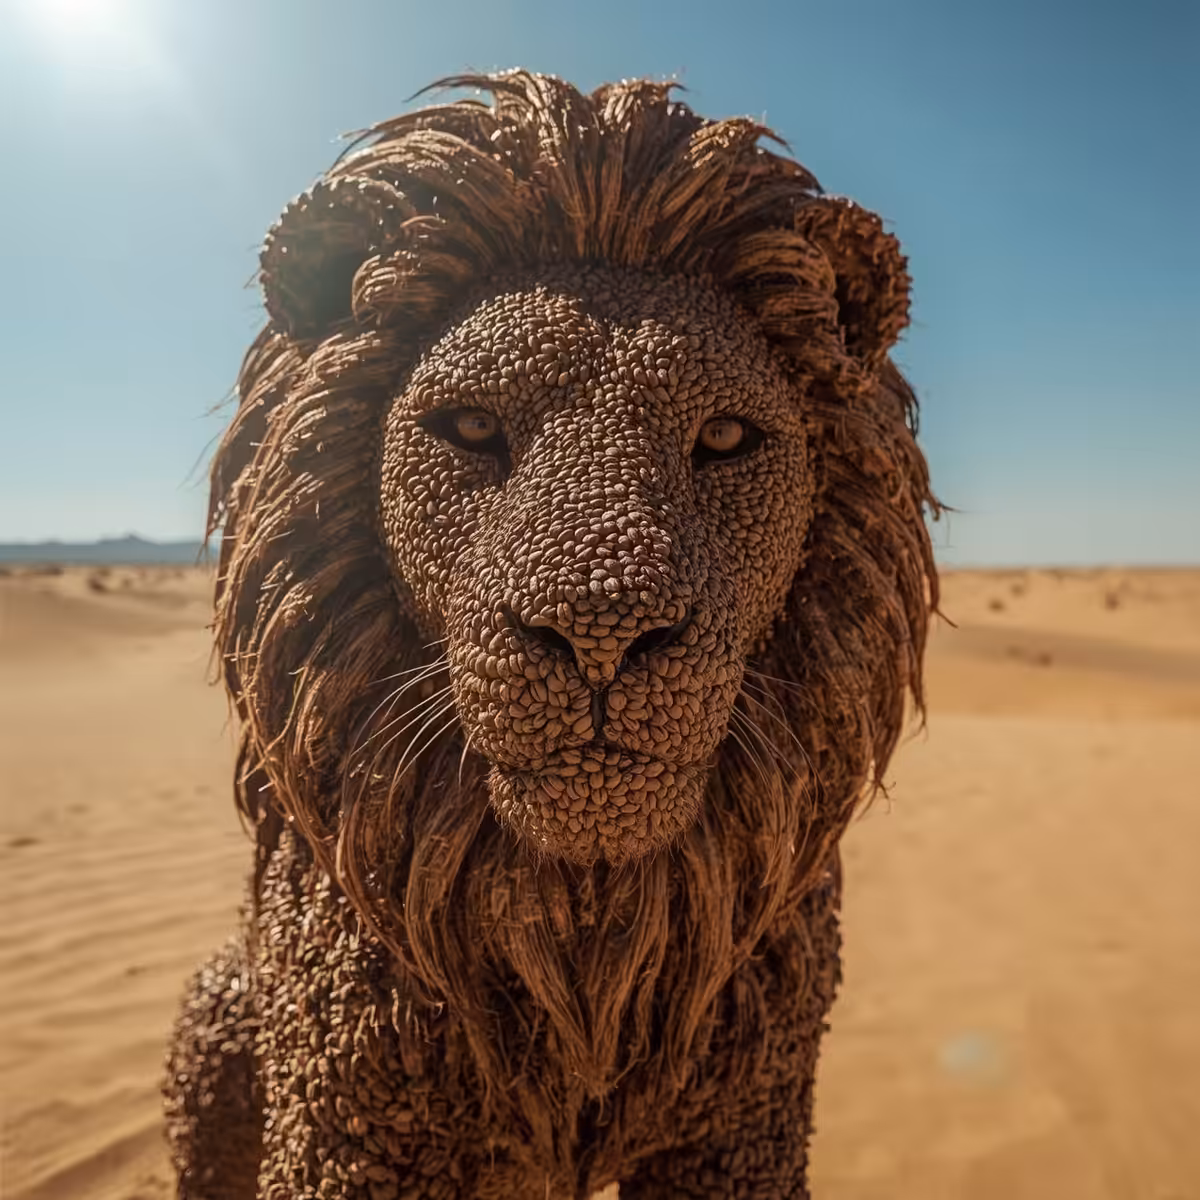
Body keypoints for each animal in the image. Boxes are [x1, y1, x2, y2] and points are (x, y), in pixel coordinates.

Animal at [163, 70, 938, 1199]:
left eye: (725, 436)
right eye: (472, 428)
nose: (602, 630)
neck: (586, 950)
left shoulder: (750, 1114)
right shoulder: (347, 1125)